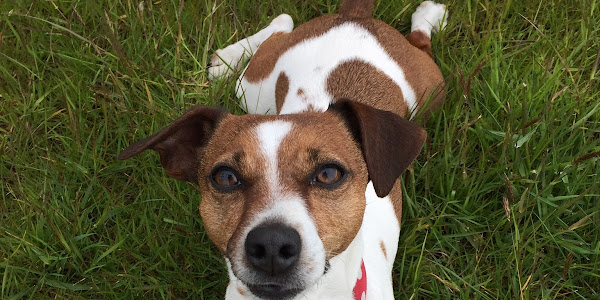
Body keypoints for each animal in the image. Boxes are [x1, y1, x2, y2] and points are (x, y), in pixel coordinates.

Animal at [119, 1, 448, 298]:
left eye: (329, 174)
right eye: (225, 177)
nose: (272, 244)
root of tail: (354, 18)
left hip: (431, 92)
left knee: (420, 41)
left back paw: (429, 14)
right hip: (251, 91)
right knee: (280, 24)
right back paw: (226, 58)